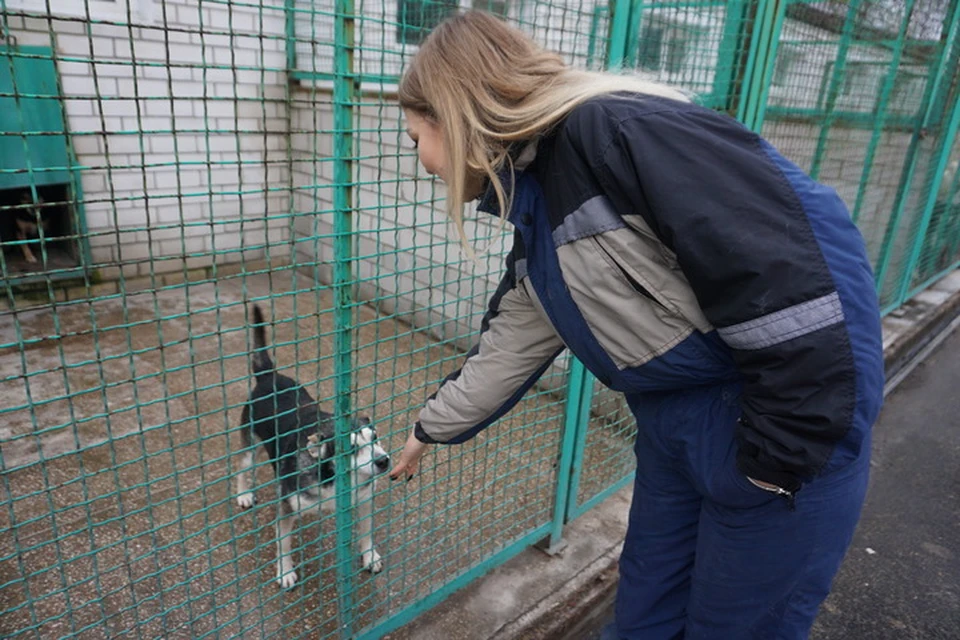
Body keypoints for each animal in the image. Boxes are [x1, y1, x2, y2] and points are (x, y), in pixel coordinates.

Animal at [234, 304, 388, 592]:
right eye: (350, 448)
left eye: (375, 437)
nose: (384, 461)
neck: (334, 478)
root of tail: (269, 377)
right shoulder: (287, 506)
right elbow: (282, 543)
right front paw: (285, 571)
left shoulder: (364, 499)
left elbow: (367, 531)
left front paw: (370, 556)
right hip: (250, 442)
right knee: (243, 467)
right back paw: (244, 494)